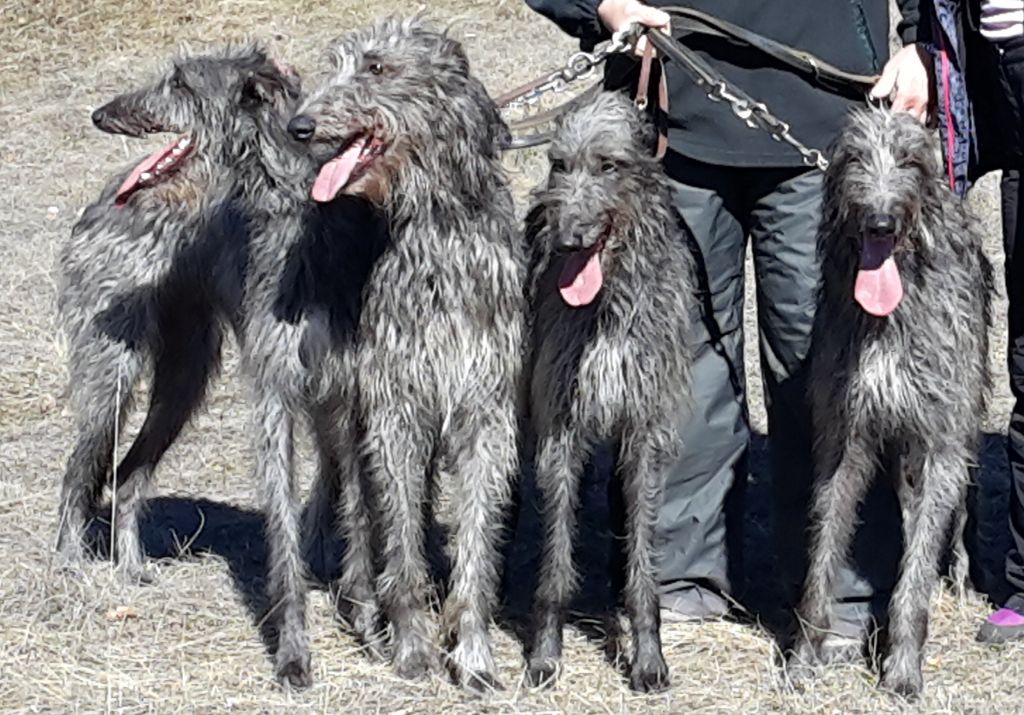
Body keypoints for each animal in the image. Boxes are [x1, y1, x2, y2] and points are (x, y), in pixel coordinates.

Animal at [55, 44, 299, 581]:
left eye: (181, 84)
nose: (100, 115)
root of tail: (102, 202)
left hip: (184, 375)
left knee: (127, 474)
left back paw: (128, 567)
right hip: (111, 373)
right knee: (80, 473)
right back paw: (67, 565)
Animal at [290, 18, 524, 692]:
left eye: (376, 69)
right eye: (336, 66)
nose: (299, 127)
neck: (435, 226)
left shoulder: (484, 410)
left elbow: (476, 540)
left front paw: (472, 653)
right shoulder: (393, 408)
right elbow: (397, 538)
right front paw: (414, 645)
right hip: (344, 405)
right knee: (358, 513)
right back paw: (367, 613)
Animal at [520, 89, 696, 692]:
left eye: (608, 166)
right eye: (559, 164)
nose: (568, 235)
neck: (607, 303)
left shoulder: (644, 428)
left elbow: (643, 553)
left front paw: (647, 656)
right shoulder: (559, 424)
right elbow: (554, 559)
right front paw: (544, 654)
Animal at [782, 107, 991, 696]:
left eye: (909, 160)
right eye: (854, 158)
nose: (879, 222)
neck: (890, 316)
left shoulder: (941, 437)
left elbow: (917, 570)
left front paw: (902, 666)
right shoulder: (844, 432)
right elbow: (824, 548)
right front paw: (803, 658)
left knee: (952, 510)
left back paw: (960, 576)